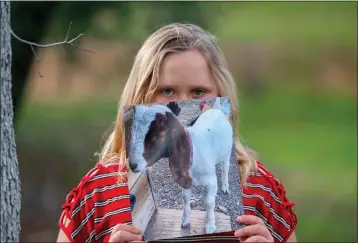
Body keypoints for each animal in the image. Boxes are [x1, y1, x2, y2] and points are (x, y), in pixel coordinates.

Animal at [127, 98, 234, 234]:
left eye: (159, 136)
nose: (132, 165)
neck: (194, 151)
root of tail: (216, 109)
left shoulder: (211, 181)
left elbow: (209, 202)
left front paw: (210, 225)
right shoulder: (184, 177)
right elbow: (185, 198)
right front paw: (185, 221)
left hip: (227, 151)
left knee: (225, 166)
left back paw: (225, 186)